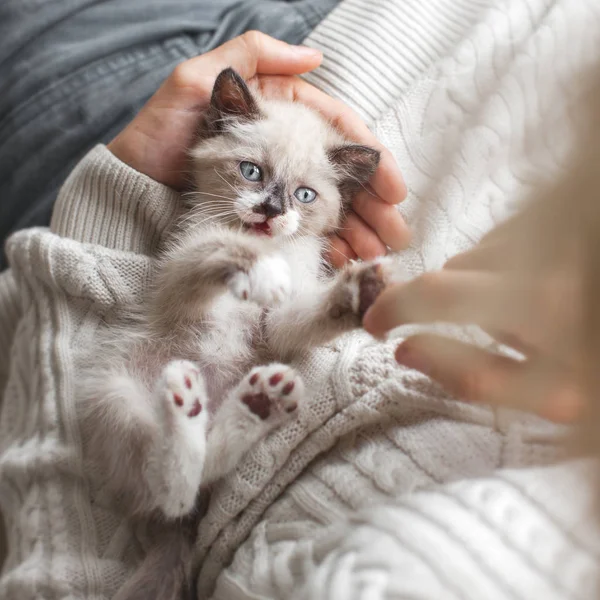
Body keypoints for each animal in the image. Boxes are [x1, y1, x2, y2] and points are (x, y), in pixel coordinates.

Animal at [77, 69, 400, 596]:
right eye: (252, 172)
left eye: (303, 195)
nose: (270, 211)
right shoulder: (180, 277)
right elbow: (220, 246)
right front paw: (258, 266)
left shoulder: (277, 329)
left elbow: (304, 317)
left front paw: (358, 295)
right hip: (114, 396)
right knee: (169, 490)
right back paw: (190, 415)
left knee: (199, 477)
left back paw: (252, 406)